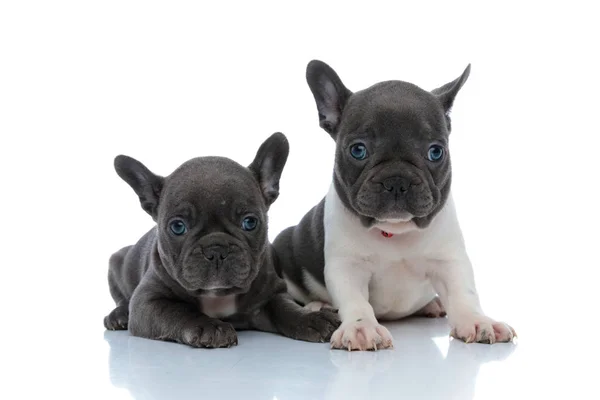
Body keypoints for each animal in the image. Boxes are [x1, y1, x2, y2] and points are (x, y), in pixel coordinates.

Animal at [101, 134, 340, 346]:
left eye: (250, 222)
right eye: (178, 227)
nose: (216, 250)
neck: (218, 296)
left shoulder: (271, 294)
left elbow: (286, 309)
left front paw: (312, 318)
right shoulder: (146, 302)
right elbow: (178, 310)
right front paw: (209, 326)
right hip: (116, 260)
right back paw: (118, 315)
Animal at [274, 60, 512, 350]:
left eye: (436, 152)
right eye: (358, 150)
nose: (397, 180)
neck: (395, 232)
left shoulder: (450, 260)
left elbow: (463, 292)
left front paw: (478, 321)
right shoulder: (347, 266)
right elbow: (355, 300)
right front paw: (361, 328)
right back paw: (317, 306)